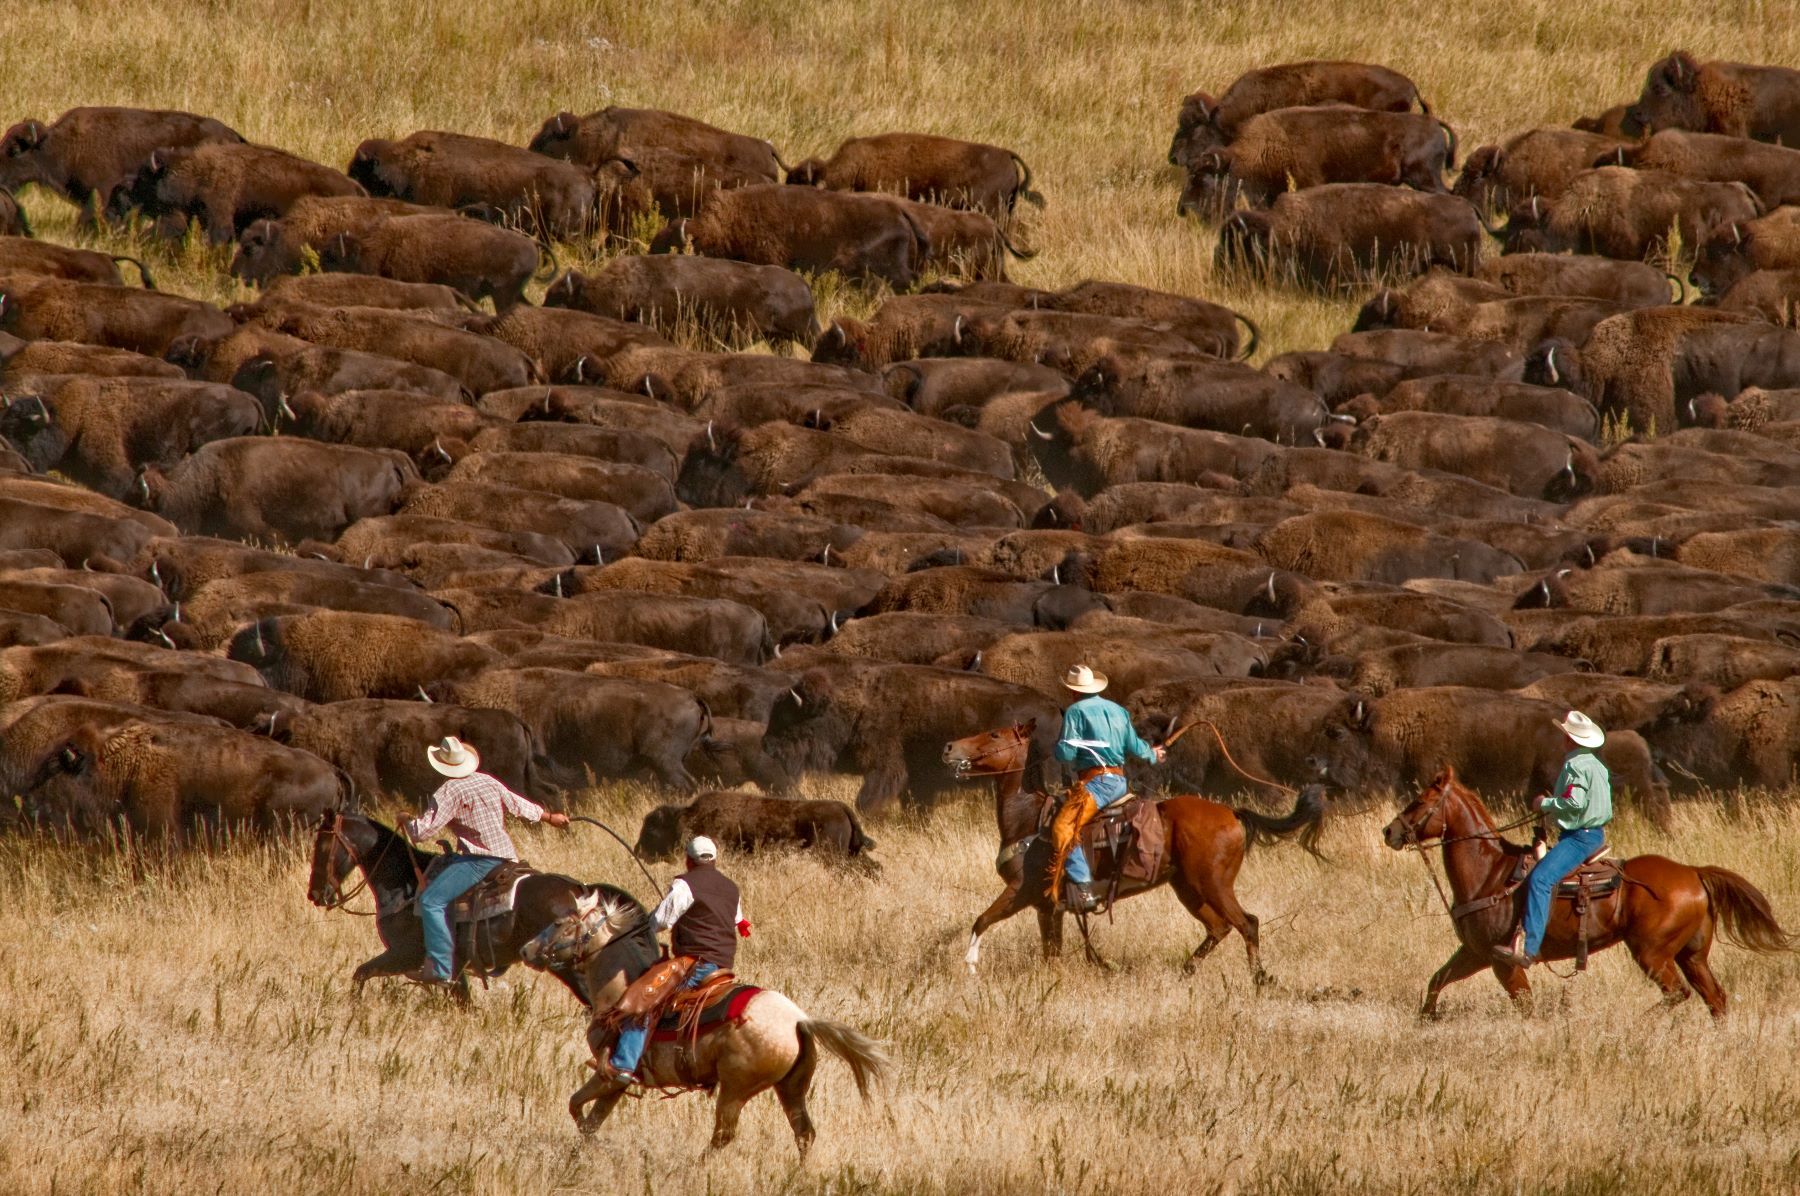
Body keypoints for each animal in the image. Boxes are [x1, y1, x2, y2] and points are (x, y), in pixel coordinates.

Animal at [306, 814, 622, 1001]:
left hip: (569, 967)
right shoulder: (456, 971)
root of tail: (578, 891)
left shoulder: (404, 955)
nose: (314, 894)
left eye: (322, 846)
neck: (405, 883)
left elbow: (361, 973)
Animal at [525, 897, 889, 1159]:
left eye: (558, 923)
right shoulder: (617, 1083)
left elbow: (576, 1106)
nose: (526, 949)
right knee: (804, 1133)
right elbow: (590, 1120)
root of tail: (799, 1020)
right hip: (791, 1087)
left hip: (735, 1090)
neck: (617, 989)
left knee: (723, 1135)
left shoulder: (609, 1074)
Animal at [943, 720, 1324, 979]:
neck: (1030, 819)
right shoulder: (1048, 906)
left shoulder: (1021, 890)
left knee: (1247, 923)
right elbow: (1051, 950)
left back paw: (1259, 979)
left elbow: (982, 920)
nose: (948, 748)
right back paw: (1186, 971)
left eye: (994, 735)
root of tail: (1231, 812)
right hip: (1188, 887)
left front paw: (970, 966)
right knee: (1219, 928)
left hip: (1213, 884)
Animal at [1382, 767, 1792, 1015]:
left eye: (1420, 801)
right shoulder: (1474, 952)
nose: (1390, 831)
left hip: (1652, 953)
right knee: (1715, 998)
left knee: (1678, 993)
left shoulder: (1503, 962)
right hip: (1691, 955)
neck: (1491, 873)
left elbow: (1525, 1006)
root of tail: (1693, 872)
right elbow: (1437, 980)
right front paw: (1426, 1020)